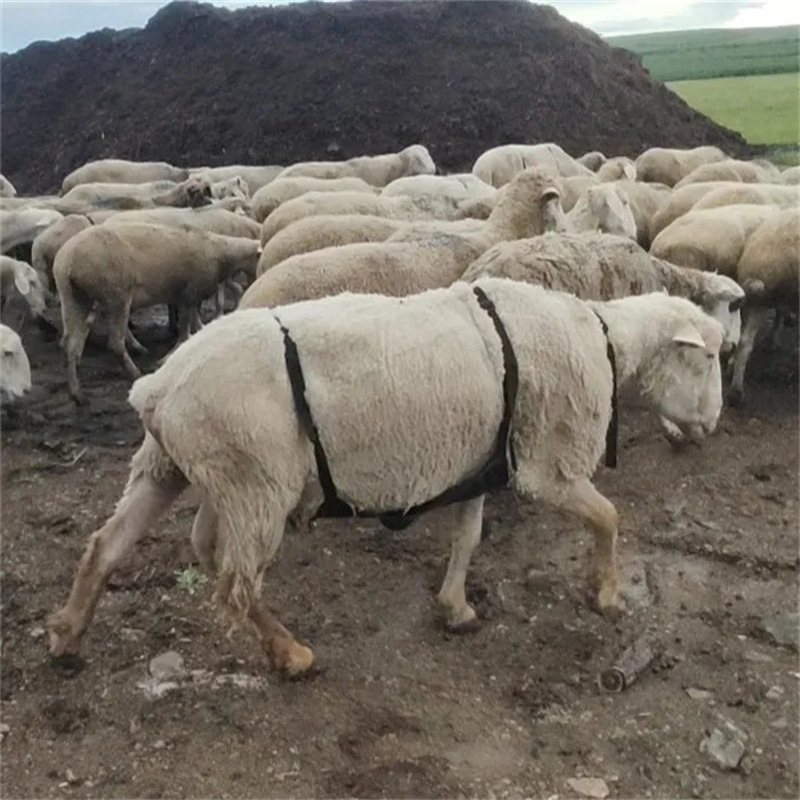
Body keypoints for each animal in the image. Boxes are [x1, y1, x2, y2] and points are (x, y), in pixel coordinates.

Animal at [47, 280, 725, 677]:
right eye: (711, 356)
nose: (715, 422)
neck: (607, 341)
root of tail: (157, 389)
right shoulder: (545, 464)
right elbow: (609, 517)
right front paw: (606, 592)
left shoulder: (478, 463)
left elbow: (467, 538)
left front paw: (455, 608)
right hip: (254, 482)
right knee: (234, 585)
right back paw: (290, 654)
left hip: (178, 468)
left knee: (111, 547)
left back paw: (67, 636)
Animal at [53, 223, 261, 404]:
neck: (219, 251)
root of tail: (68, 260)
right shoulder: (190, 292)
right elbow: (185, 329)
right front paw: (169, 355)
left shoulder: (185, 295)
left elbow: (192, 322)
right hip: (115, 293)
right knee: (114, 344)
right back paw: (134, 373)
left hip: (74, 297)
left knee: (68, 344)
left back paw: (77, 394)